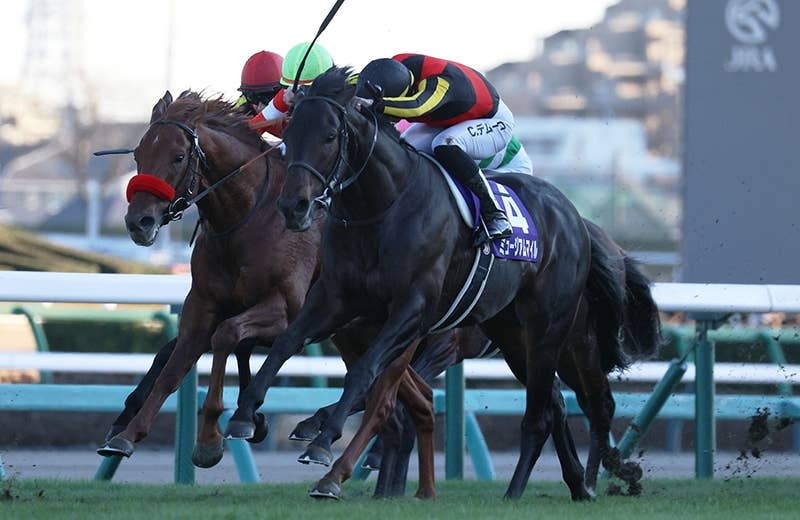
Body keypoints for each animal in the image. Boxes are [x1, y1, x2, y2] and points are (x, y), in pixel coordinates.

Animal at [223, 66, 653, 500]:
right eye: (289, 136)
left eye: (329, 135)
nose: (293, 207)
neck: (382, 207)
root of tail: (574, 216)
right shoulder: (335, 298)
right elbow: (285, 344)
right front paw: (244, 415)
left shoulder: (413, 310)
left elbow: (364, 373)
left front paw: (323, 443)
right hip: (511, 334)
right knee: (554, 407)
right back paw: (567, 485)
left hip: (553, 330)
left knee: (565, 408)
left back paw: (533, 490)